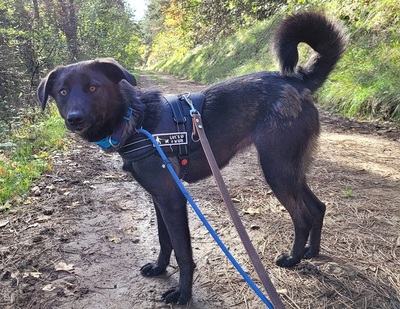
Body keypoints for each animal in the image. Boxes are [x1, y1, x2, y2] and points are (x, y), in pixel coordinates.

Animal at [36, 11, 346, 304]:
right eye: (62, 92)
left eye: (92, 88)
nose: (74, 118)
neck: (137, 120)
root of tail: (298, 82)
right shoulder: (159, 198)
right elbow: (164, 241)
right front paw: (160, 269)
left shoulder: (173, 200)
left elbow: (183, 251)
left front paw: (183, 294)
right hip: (291, 170)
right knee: (318, 208)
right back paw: (311, 252)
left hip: (277, 170)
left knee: (302, 217)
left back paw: (293, 259)